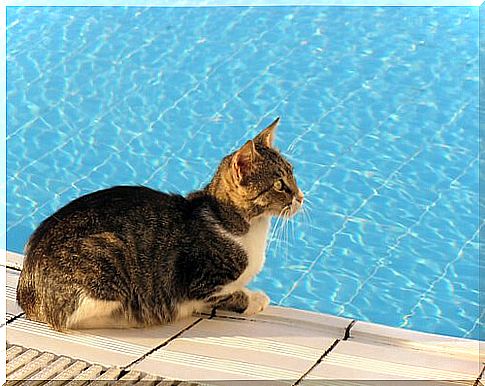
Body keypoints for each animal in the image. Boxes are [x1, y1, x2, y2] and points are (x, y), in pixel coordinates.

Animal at [18, 116, 302, 330]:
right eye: (279, 185)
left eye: (293, 174)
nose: (301, 196)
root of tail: (28, 289)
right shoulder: (201, 284)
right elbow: (230, 294)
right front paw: (254, 299)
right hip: (106, 259)